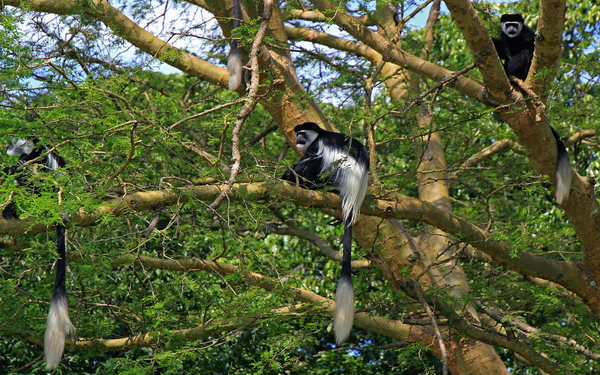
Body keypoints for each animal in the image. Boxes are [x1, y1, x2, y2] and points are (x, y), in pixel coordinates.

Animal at [2, 139, 73, 370]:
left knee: (32, 178)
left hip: (47, 190)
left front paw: (14, 166)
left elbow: (27, 166)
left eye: (15, 140)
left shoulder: (40, 154)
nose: (8, 144)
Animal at [282, 122, 370, 346]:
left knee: (316, 162)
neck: (320, 134)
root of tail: (352, 197)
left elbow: (310, 158)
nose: (297, 140)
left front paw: (288, 174)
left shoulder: (317, 144)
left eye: (301, 133)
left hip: (332, 175)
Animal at [494, 13, 576, 203]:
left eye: (515, 24)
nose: (511, 29)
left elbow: (529, 46)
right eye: (507, 24)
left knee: (525, 53)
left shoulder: (527, 33)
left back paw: (509, 72)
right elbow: (503, 46)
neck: (515, 37)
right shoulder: (505, 37)